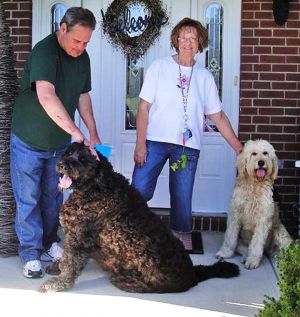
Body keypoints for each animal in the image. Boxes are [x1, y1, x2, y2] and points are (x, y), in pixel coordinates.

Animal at [39, 142, 239, 292]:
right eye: (69, 152)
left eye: (82, 159)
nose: (62, 165)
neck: (93, 188)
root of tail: (193, 275)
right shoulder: (73, 235)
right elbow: (66, 258)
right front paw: (57, 266)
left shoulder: (79, 238)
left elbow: (71, 263)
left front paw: (58, 283)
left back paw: (125, 281)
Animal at [217, 139, 292, 268]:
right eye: (254, 154)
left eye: (265, 153)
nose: (261, 162)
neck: (255, 184)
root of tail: (267, 250)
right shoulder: (235, 215)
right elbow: (229, 237)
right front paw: (225, 252)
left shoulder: (263, 220)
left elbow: (256, 244)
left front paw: (252, 260)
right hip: (241, 240)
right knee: (243, 249)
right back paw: (245, 256)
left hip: (281, 235)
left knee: (281, 251)